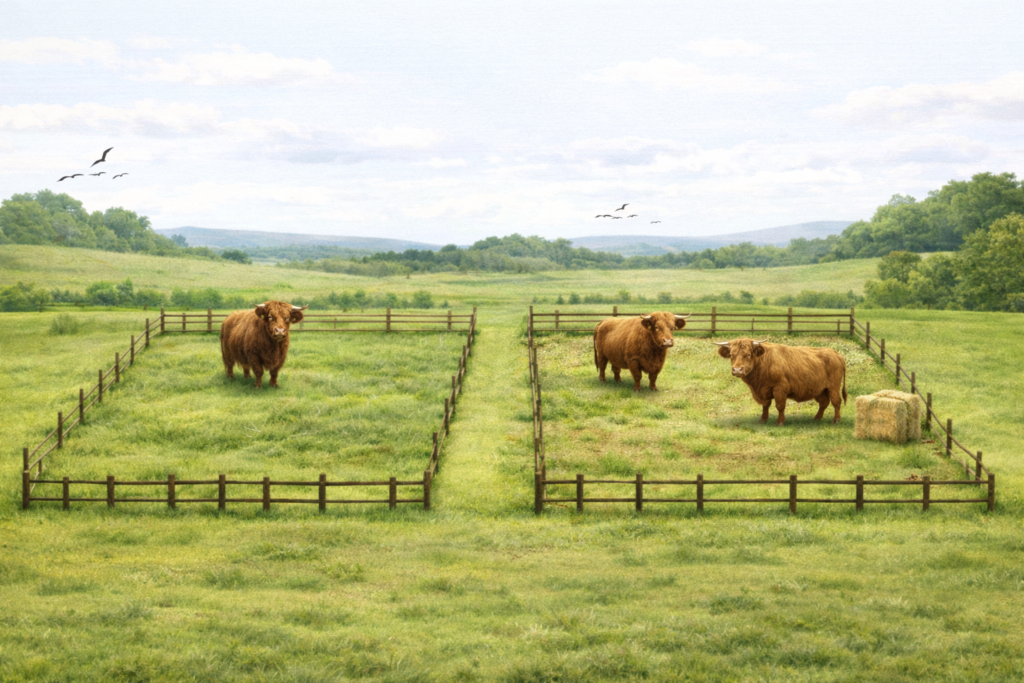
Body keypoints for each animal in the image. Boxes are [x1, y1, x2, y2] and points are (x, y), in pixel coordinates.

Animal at [714, 338, 847, 426]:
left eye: (748, 354)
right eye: (731, 355)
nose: (737, 369)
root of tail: (836, 354)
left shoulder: (780, 388)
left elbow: (780, 406)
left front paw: (780, 422)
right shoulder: (763, 391)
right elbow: (765, 405)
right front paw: (763, 420)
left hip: (833, 387)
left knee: (836, 401)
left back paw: (836, 420)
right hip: (820, 389)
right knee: (824, 402)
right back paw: (817, 418)